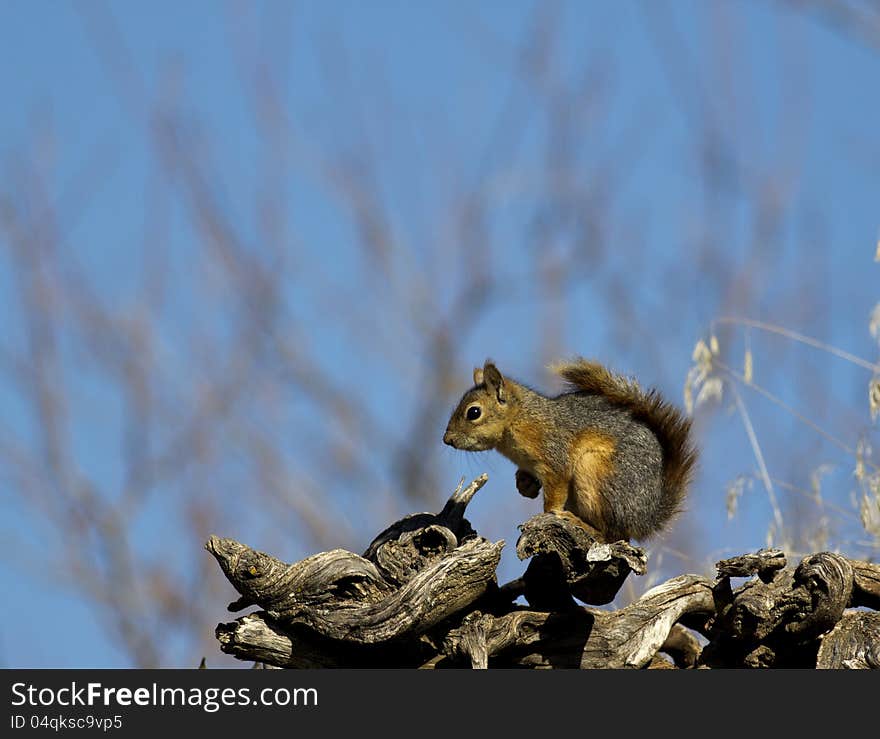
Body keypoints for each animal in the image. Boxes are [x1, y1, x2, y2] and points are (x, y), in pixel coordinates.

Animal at [444, 360, 696, 544]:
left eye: (474, 412)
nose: (447, 440)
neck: (519, 420)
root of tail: (646, 519)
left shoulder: (555, 453)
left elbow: (556, 488)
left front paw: (549, 513)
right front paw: (525, 485)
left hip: (595, 473)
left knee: (612, 535)